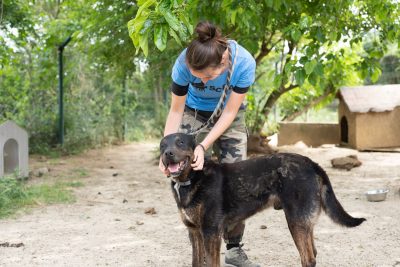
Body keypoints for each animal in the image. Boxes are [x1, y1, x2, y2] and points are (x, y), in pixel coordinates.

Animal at [159, 133, 366, 266]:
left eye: (180, 142)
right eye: (162, 145)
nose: (167, 153)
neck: (193, 177)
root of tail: (312, 164)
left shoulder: (210, 233)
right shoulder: (195, 232)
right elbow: (196, 262)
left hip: (295, 221)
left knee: (308, 259)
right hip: (304, 223)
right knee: (313, 254)